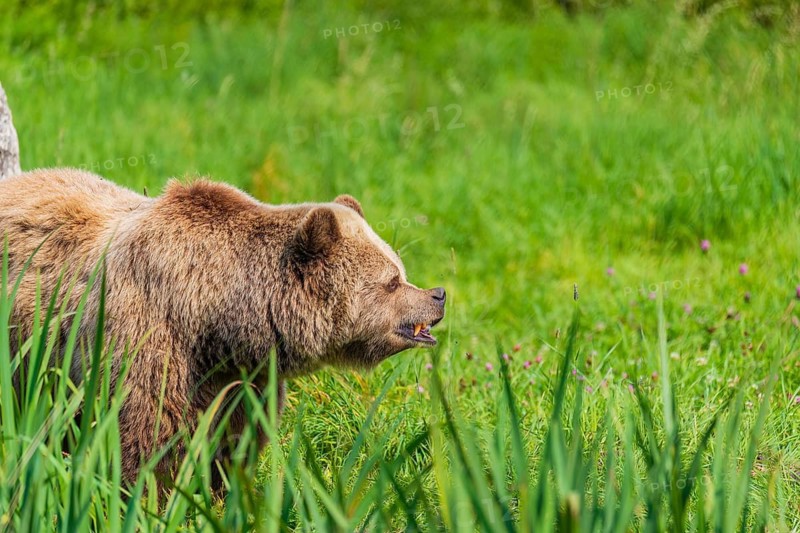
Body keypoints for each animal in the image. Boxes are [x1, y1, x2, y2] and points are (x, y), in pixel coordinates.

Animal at [0, 168, 445, 488]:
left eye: (401, 269)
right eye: (392, 280)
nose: (438, 294)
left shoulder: (241, 380)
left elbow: (230, 444)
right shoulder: (148, 341)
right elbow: (145, 438)